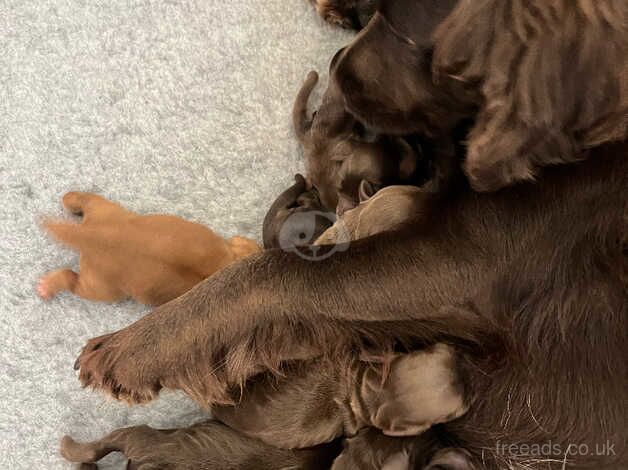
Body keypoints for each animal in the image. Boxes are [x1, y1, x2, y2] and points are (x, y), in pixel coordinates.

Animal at [37, 193, 260, 306]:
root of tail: (90, 234)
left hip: (108, 210)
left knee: (88, 199)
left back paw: (70, 199)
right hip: (100, 288)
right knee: (71, 280)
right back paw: (47, 285)